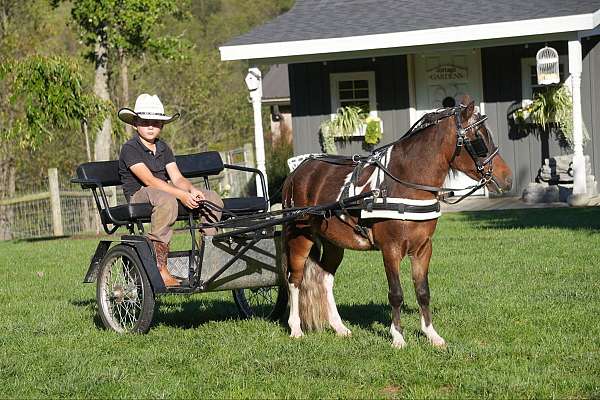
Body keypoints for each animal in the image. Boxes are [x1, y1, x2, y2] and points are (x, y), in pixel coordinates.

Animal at [282, 97, 510, 346]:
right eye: (479, 139)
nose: (507, 178)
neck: (405, 182)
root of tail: (296, 173)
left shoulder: (423, 249)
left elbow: (423, 292)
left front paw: (431, 334)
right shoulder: (390, 249)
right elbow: (396, 293)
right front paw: (398, 337)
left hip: (334, 243)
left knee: (325, 279)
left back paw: (339, 327)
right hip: (300, 237)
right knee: (294, 279)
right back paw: (296, 328)